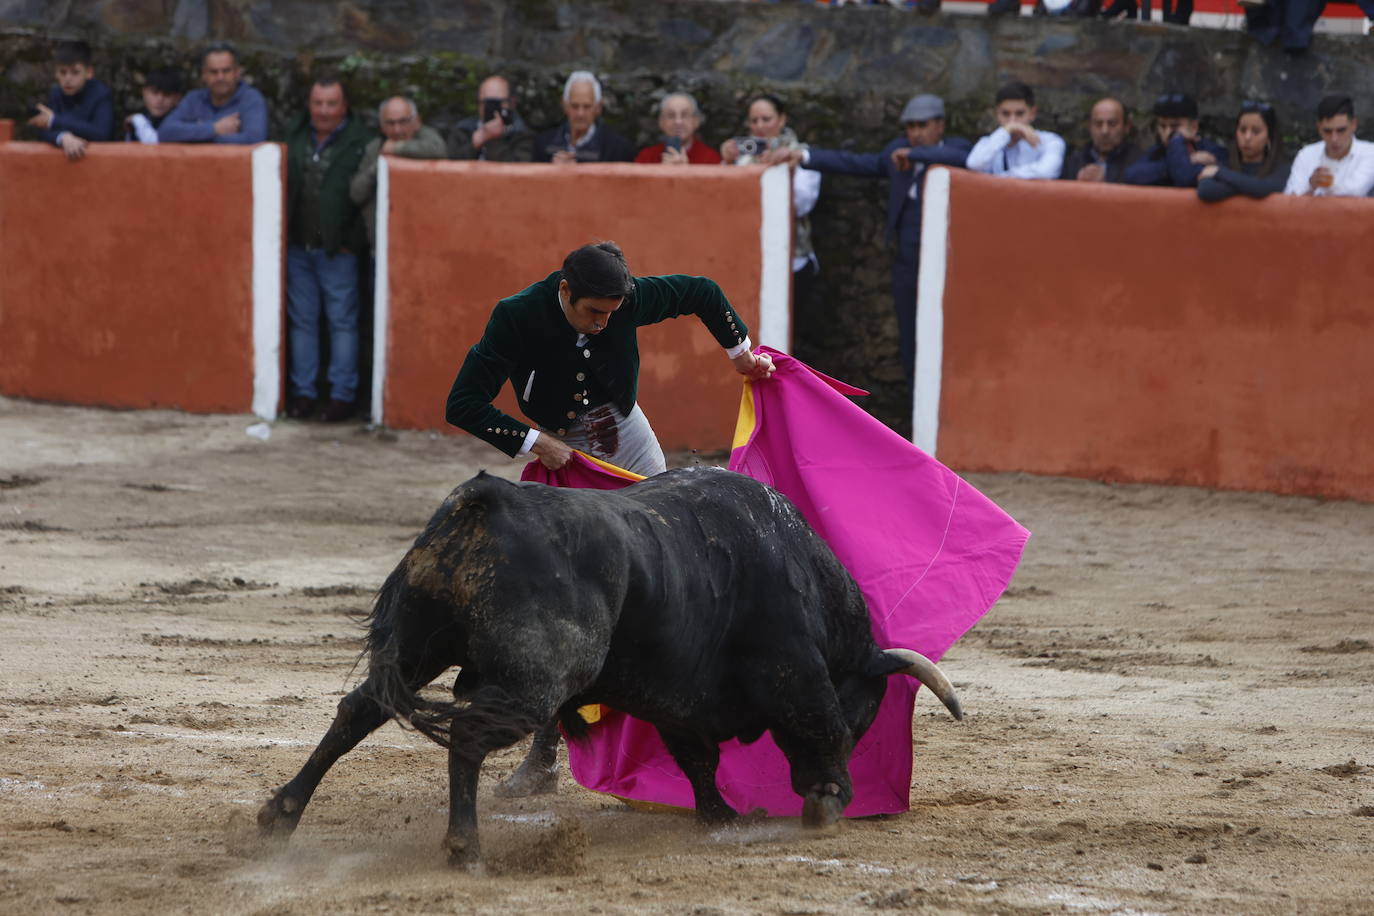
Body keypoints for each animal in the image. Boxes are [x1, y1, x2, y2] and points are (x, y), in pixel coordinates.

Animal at [259, 469, 967, 862]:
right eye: (866, 714)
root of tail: (484, 503)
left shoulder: (681, 699)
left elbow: (697, 759)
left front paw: (722, 815)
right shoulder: (794, 670)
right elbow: (814, 725)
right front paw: (827, 799)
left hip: (418, 646)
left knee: (358, 710)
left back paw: (280, 815)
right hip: (532, 683)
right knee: (465, 734)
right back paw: (465, 848)